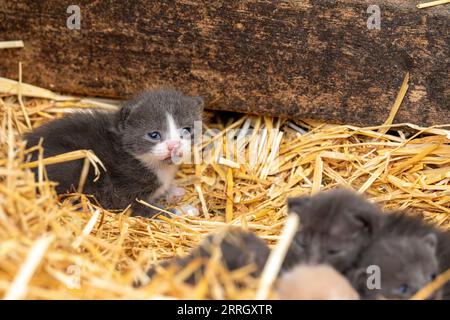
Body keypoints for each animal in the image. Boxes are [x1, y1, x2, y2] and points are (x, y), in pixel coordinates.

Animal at [22, 89, 202, 216]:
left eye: (186, 130)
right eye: (154, 135)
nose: (174, 145)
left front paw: (174, 190)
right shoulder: (121, 194)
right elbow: (150, 210)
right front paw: (184, 210)